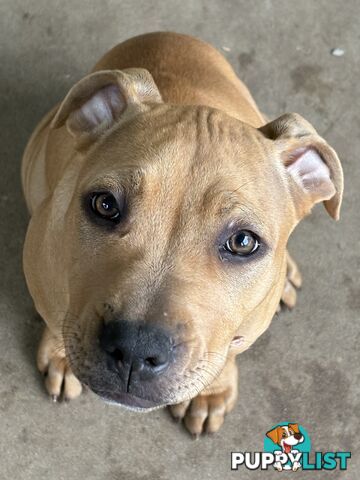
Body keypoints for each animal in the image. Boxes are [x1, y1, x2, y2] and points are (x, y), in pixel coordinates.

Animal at [20, 31, 344, 436]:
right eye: (105, 204)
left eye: (243, 242)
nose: (135, 348)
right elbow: (54, 316)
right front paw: (60, 354)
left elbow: (230, 351)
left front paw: (212, 391)